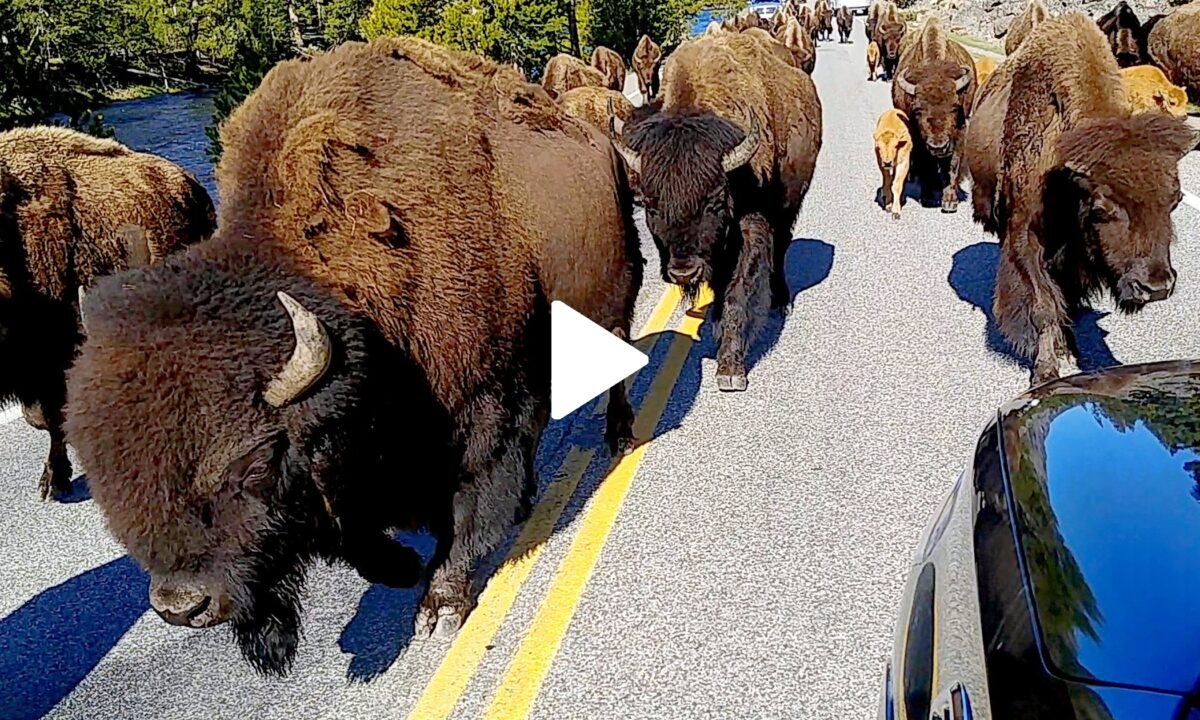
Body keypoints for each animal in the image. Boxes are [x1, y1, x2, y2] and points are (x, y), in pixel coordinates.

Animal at [63, 36, 648, 672]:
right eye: (103, 471)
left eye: (253, 462)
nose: (182, 605)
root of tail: (601, 143)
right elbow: (355, 534)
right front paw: (405, 566)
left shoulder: (482, 407)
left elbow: (465, 509)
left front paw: (439, 609)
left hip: (614, 305)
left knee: (617, 373)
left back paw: (618, 436)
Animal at [604, 32, 820, 393]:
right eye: (650, 205)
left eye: (715, 201)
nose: (684, 273)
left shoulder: (749, 229)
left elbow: (737, 292)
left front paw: (730, 371)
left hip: (790, 204)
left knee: (782, 245)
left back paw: (781, 299)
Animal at [892, 16, 974, 212]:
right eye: (918, 110)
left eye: (955, 106)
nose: (938, 147)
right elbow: (926, 163)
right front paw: (928, 197)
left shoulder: (960, 131)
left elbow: (953, 165)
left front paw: (950, 201)